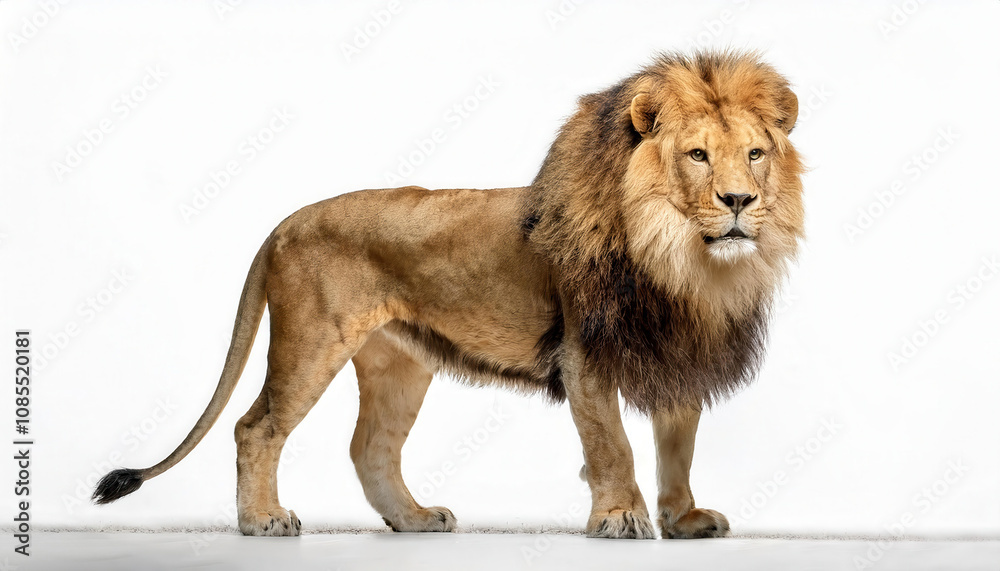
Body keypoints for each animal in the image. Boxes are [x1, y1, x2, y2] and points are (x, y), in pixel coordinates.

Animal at [93, 50, 803, 540]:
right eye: (697, 156)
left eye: (756, 153)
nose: (740, 201)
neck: (682, 261)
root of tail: (283, 224)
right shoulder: (585, 356)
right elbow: (614, 445)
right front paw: (620, 518)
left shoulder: (680, 352)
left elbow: (678, 450)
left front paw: (683, 521)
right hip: (310, 341)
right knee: (256, 426)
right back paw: (261, 521)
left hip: (398, 363)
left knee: (370, 448)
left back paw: (412, 520)